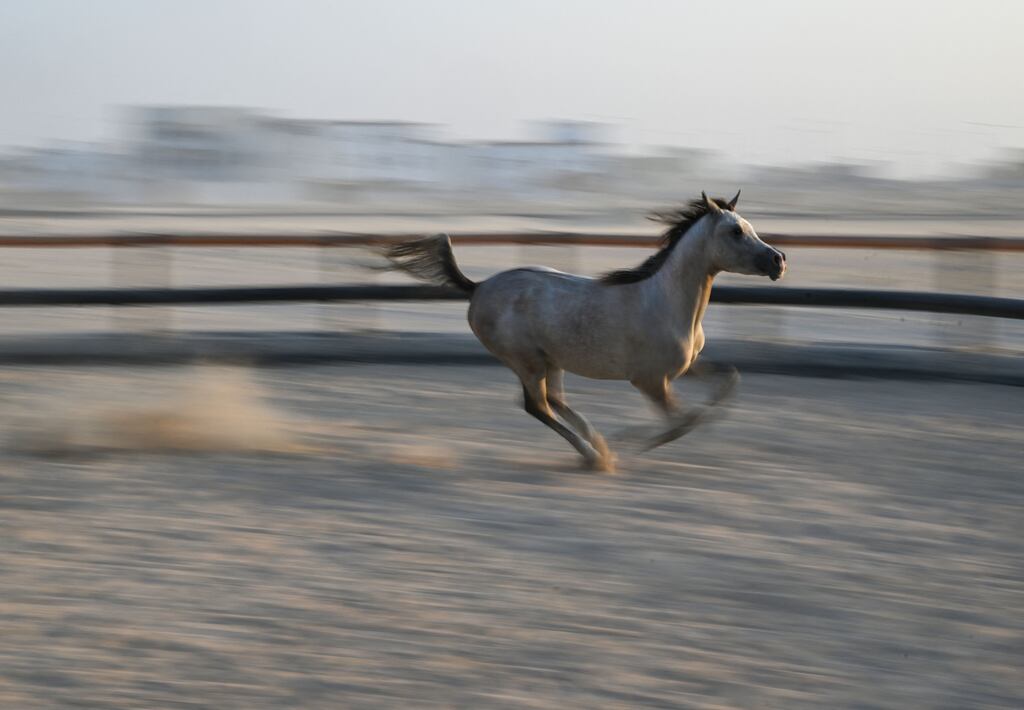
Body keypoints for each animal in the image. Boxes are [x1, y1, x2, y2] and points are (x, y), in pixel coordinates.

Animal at [383, 191, 786, 472]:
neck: (664, 302)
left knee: (554, 401)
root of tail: (478, 287)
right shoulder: (649, 381)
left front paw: (625, 440)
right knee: (537, 405)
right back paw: (595, 455)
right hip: (526, 361)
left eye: (749, 226)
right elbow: (683, 421)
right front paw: (631, 442)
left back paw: (596, 446)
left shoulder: (684, 368)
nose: (778, 260)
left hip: (551, 360)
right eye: (736, 231)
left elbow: (726, 383)